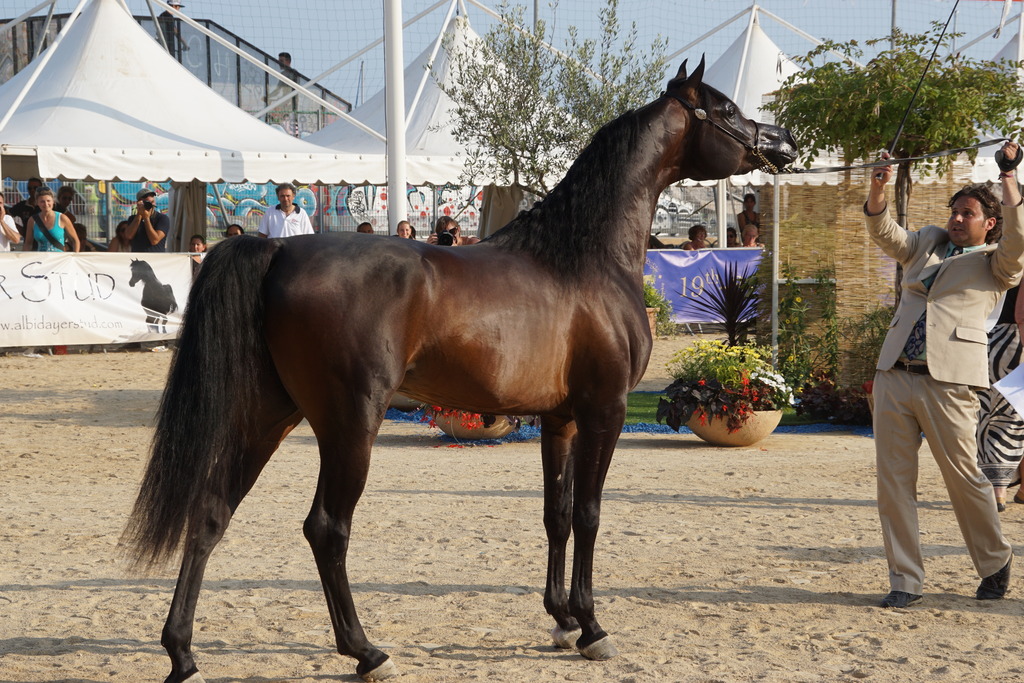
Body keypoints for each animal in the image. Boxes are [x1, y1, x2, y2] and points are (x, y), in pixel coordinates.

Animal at [122, 58, 797, 682]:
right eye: (726, 109)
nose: (784, 141)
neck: (586, 258)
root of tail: (281, 248)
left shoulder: (559, 419)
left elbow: (556, 513)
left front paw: (560, 619)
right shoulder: (604, 411)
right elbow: (588, 513)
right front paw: (592, 626)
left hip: (270, 415)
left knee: (212, 512)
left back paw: (183, 653)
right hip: (349, 424)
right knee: (327, 528)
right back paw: (366, 652)